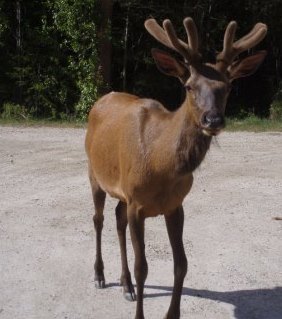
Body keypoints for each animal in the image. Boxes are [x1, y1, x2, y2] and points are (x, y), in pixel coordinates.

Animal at [85, 18, 268, 319]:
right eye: (189, 86)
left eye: (228, 86)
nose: (213, 119)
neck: (161, 166)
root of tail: (100, 100)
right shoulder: (137, 204)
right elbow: (143, 267)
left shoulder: (174, 205)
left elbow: (181, 264)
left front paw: (172, 313)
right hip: (94, 174)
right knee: (98, 219)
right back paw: (100, 276)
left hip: (123, 193)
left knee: (117, 219)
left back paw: (125, 285)